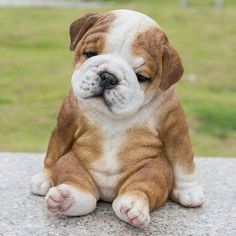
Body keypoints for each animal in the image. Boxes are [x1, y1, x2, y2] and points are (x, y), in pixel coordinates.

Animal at [30, 10, 205, 228]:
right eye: (90, 54)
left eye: (142, 77)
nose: (108, 76)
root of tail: (107, 194)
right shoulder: (66, 124)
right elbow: (54, 151)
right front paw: (44, 177)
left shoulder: (175, 129)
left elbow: (184, 161)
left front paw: (189, 190)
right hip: (72, 162)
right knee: (75, 179)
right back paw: (66, 199)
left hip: (155, 170)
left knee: (143, 185)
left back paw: (133, 207)